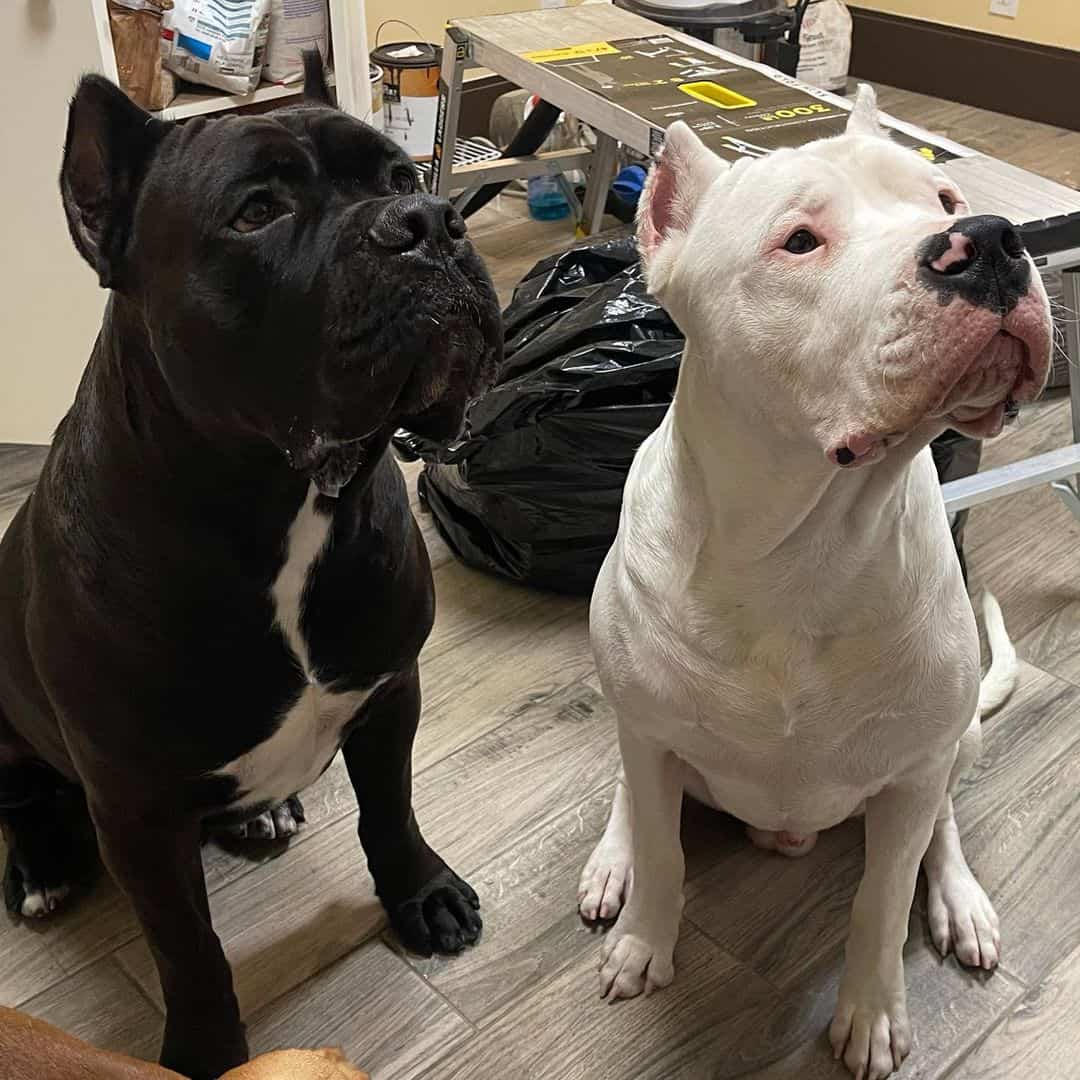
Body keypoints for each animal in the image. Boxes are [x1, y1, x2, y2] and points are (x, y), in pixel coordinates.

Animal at [0, 56, 498, 1080]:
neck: (287, 505)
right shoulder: (137, 810)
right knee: (19, 790)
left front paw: (421, 892)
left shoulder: (388, 692)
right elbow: (189, 947)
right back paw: (38, 864)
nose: (430, 220)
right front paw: (204, 1048)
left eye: (400, 176)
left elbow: (391, 809)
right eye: (256, 211)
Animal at [578, 86, 1049, 1080]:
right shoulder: (650, 729)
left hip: (952, 746)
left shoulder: (912, 773)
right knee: (633, 791)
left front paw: (871, 1012)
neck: (803, 553)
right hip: (638, 725)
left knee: (944, 825)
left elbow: (881, 897)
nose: (989, 241)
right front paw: (644, 937)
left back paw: (960, 901)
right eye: (800, 241)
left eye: (945, 200)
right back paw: (614, 860)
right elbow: (663, 848)